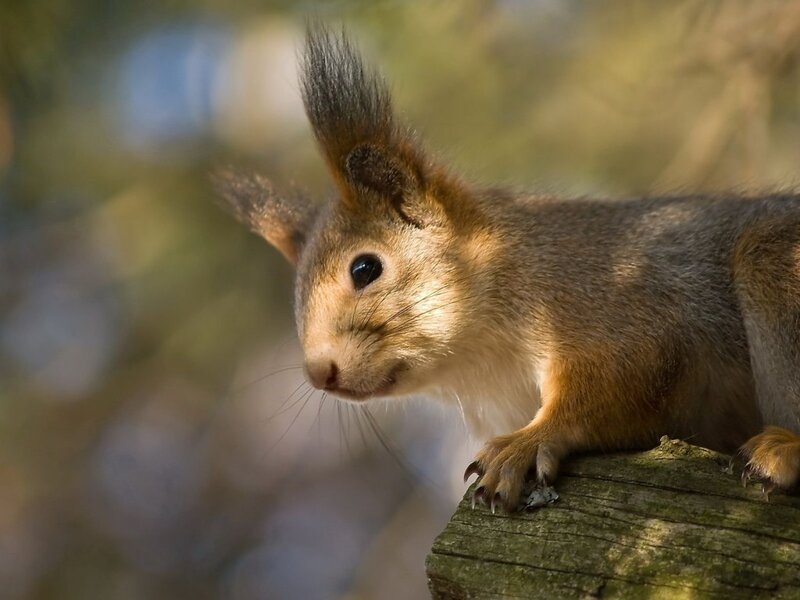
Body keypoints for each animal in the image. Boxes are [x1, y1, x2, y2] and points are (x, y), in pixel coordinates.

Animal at [214, 27, 800, 512]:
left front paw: (526, 442)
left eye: (364, 268)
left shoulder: (611, 300)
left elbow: (622, 378)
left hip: (776, 264)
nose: (320, 373)